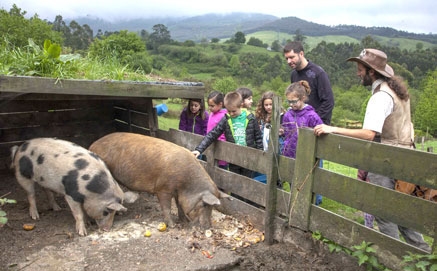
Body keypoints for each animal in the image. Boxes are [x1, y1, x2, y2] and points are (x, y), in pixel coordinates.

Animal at [87, 133, 227, 228]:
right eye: (204, 204)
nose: (208, 227)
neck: (186, 184)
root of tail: (92, 145)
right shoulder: (163, 189)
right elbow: (166, 207)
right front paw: (172, 226)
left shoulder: (178, 192)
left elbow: (180, 206)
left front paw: (183, 221)